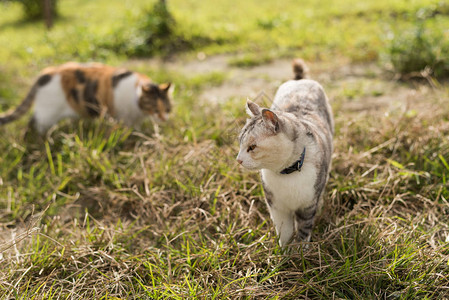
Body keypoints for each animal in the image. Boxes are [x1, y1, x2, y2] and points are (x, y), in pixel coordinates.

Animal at [0, 61, 172, 133]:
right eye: (154, 107)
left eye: (167, 108)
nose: (163, 118)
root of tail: (45, 74)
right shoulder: (123, 115)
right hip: (46, 114)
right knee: (33, 122)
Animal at [236, 59, 330, 247]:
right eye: (241, 143)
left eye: (252, 147)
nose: (238, 160)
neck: (286, 173)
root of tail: (299, 80)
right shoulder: (276, 207)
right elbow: (284, 232)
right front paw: (284, 252)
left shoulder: (307, 206)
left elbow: (303, 230)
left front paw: (301, 252)